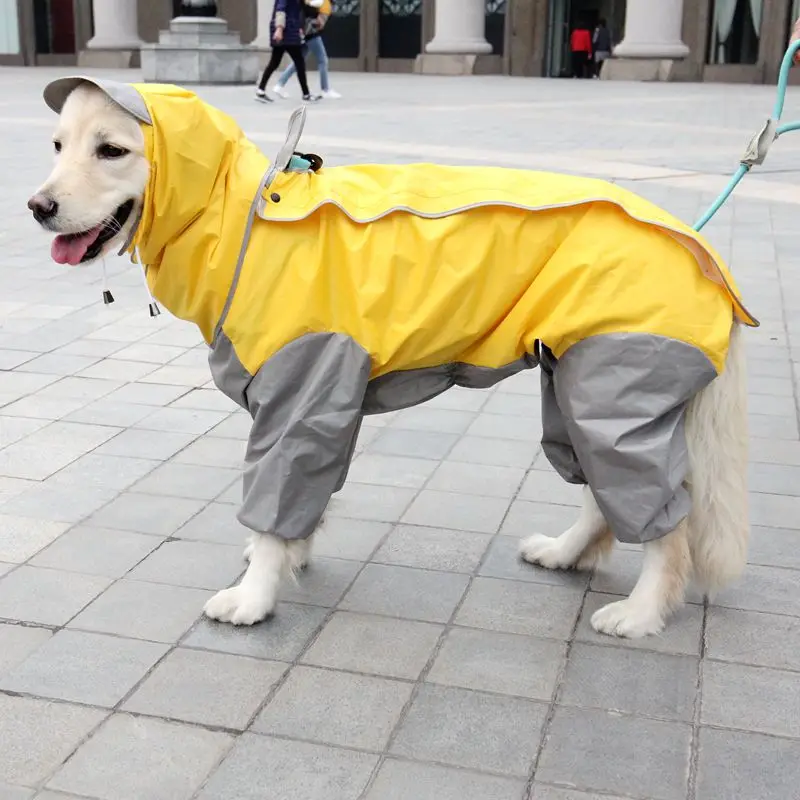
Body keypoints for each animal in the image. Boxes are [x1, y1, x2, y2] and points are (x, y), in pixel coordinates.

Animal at [26, 76, 752, 636]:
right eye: (57, 146)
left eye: (112, 150)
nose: (36, 205)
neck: (244, 222)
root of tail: (705, 251)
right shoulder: (318, 400)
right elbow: (299, 503)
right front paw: (288, 559)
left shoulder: (301, 387)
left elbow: (273, 502)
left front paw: (255, 597)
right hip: (578, 387)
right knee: (607, 495)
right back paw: (566, 554)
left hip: (613, 385)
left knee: (666, 521)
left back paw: (642, 612)